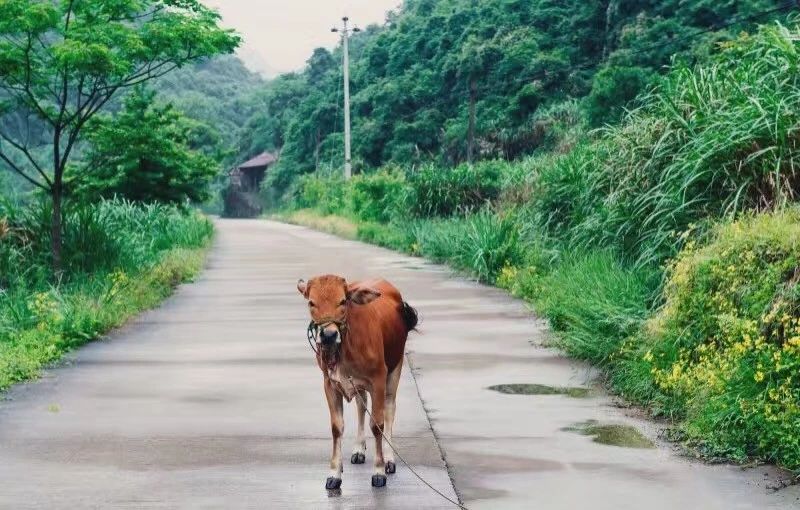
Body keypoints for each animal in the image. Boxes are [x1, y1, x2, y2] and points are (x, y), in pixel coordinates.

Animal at [296, 274, 418, 490]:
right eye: (311, 302)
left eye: (343, 301)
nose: (328, 335)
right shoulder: (329, 383)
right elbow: (337, 427)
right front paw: (334, 474)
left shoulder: (378, 379)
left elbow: (377, 424)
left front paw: (379, 471)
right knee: (362, 406)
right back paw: (359, 449)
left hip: (395, 368)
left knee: (389, 409)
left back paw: (389, 458)